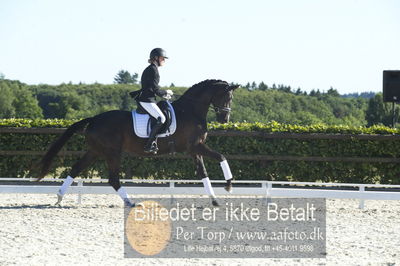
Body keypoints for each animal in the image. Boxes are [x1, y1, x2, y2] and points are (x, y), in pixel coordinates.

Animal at [33, 80, 238, 207]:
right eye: (227, 97)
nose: (225, 120)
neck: (190, 111)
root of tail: (95, 119)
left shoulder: (194, 150)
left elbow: (203, 174)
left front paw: (215, 200)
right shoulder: (195, 146)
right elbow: (222, 157)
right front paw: (228, 185)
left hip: (95, 151)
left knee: (76, 168)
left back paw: (59, 197)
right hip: (112, 152)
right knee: (113, 179)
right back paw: (130, 202)